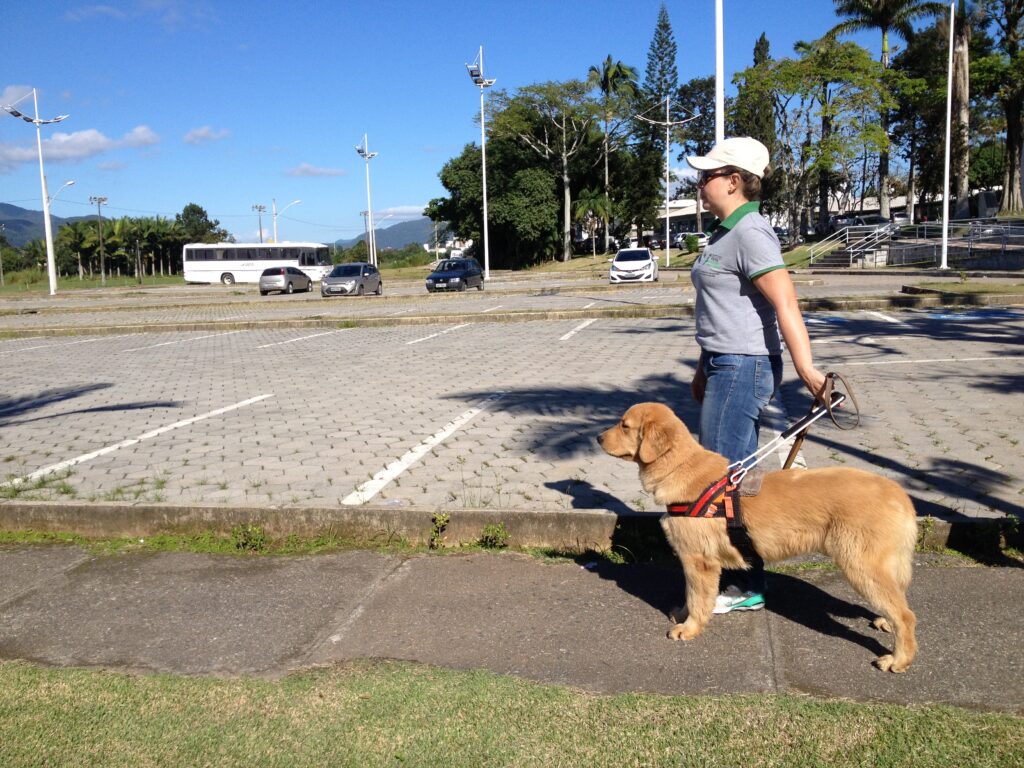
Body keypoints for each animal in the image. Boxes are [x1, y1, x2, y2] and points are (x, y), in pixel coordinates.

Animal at [598, 403, 917, 671]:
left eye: (624, 425)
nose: (599, 438)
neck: (679, 467)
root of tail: (899, 493)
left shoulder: (699, 561)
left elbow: (697, 597)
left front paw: (689, 628)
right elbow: (691, 595)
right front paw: (683, 614)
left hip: (860, 566)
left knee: (906, 615)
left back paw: (898, 659)